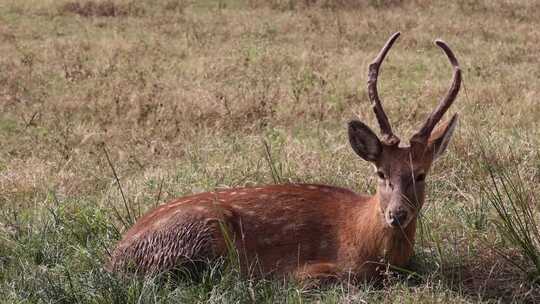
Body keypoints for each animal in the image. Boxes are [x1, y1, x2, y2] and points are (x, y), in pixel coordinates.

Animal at [108, 31, 460, 282]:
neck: (363, 237)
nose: (397, 215)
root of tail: (115, 257)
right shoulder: (318, 269)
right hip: (202, 231)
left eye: (420, 174)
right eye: (380, 173)